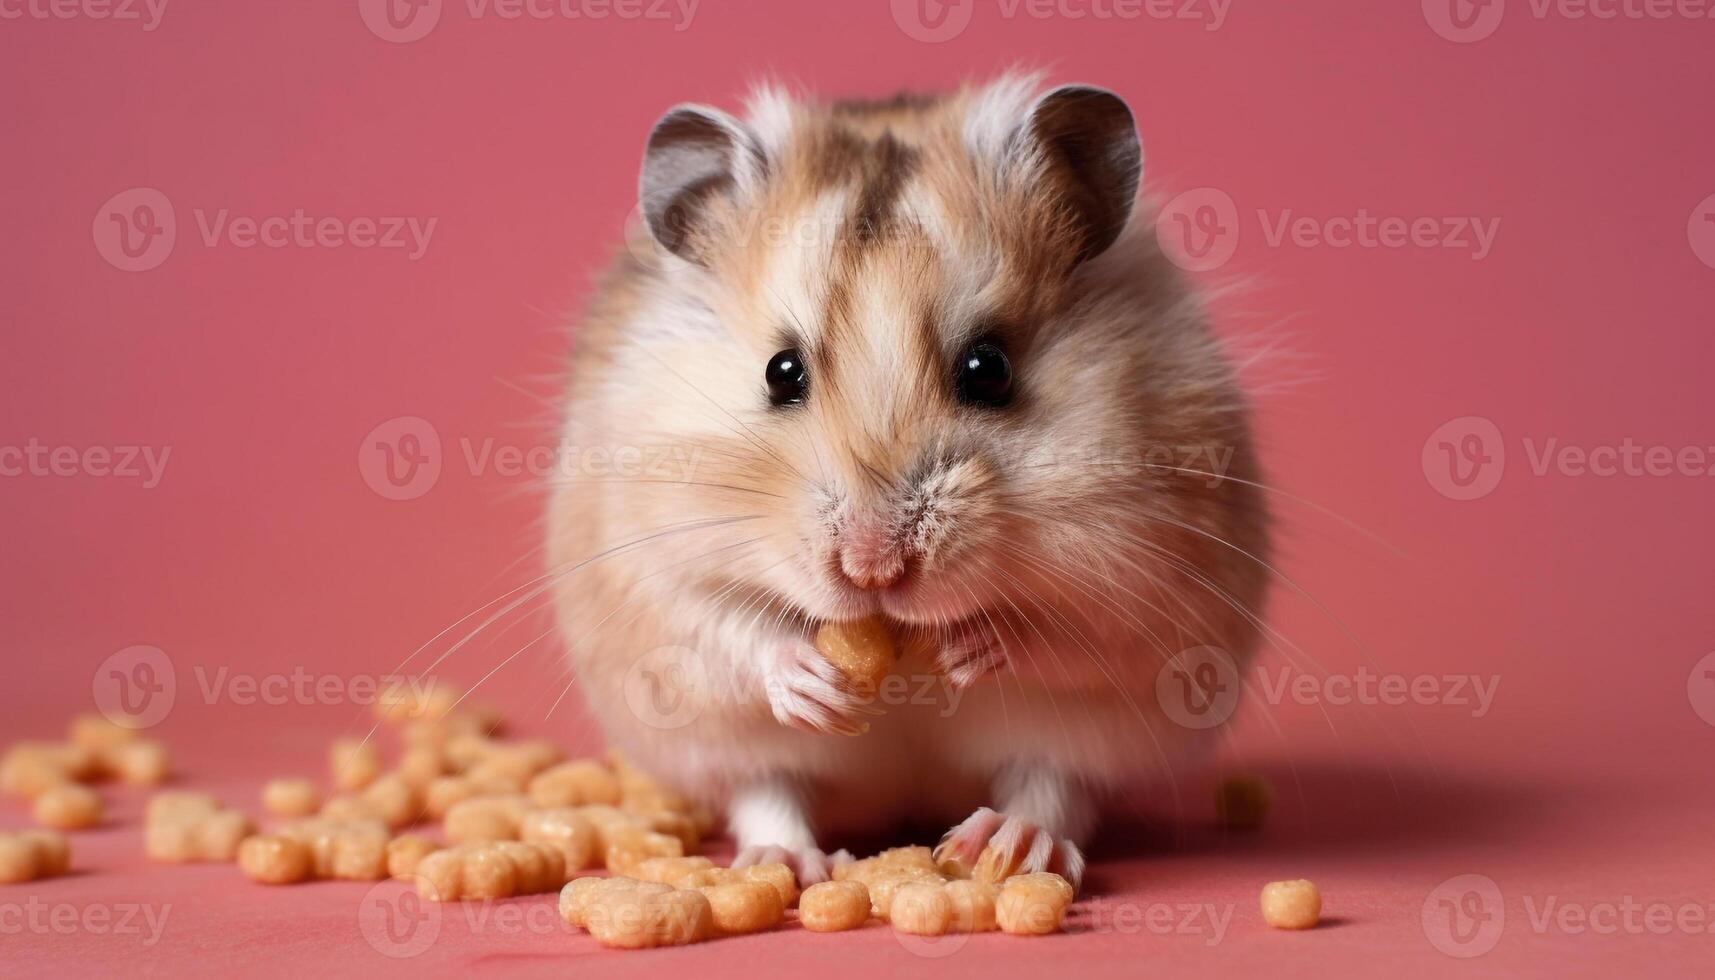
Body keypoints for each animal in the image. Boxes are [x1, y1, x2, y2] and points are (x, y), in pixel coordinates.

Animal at [548, 72, 1275, 892]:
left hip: (1091, 736)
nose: (874, 571)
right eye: (780, 371)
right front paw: (815, 682)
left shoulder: (1155, 579)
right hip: (725, 744)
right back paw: (788, 863)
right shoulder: (643, 572)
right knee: (767, 788)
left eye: (988, 368)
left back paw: (1004, 846)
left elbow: (1072, 633)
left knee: (1051, 784)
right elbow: (728, 627)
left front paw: (970, 650)